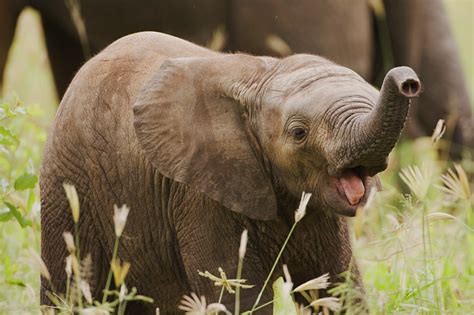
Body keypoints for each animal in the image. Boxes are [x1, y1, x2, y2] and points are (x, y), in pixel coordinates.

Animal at [40, 31, 418, 314]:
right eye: (299, 133)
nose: (409, 81)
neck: (262, 76)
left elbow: (337, 289)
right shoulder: (200, 197)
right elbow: (239, 297)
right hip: (68, 186)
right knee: (69, 289)